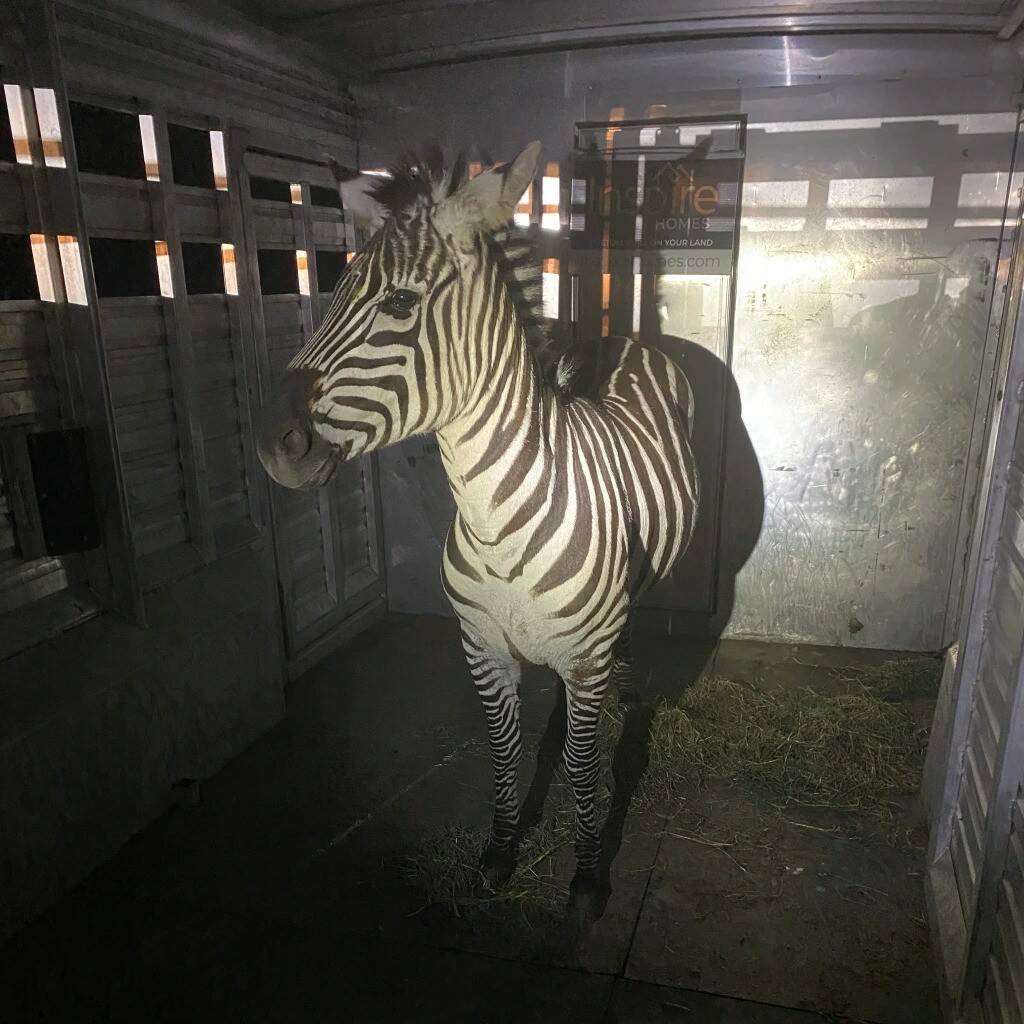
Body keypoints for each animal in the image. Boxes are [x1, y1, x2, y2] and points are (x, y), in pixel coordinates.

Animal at [256, 142, 699, 913]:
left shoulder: (585, 657)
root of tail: (623, 339)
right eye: (333, 293)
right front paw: (497, 853)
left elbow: (583, 766)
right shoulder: (482, 648)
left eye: (400, 303)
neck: (497, 525)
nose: (272, 443)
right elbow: (503, 751)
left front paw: (586, 876)